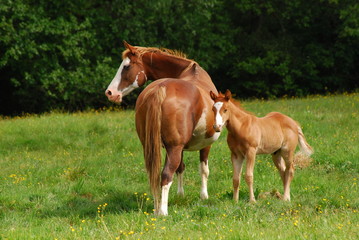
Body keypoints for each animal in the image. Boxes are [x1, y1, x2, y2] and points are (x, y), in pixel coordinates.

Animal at [105, 41, 221, 216]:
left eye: (126, 66)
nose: (110, 93)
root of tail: (159, 89)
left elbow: (181, 168)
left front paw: (180, 195)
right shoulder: (203, 144)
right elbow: (203, 169)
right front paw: (204, 196)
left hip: (152, 146)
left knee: (154, 174)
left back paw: (156, 208)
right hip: (174, 148)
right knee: (166, 175)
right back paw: (163, 212)